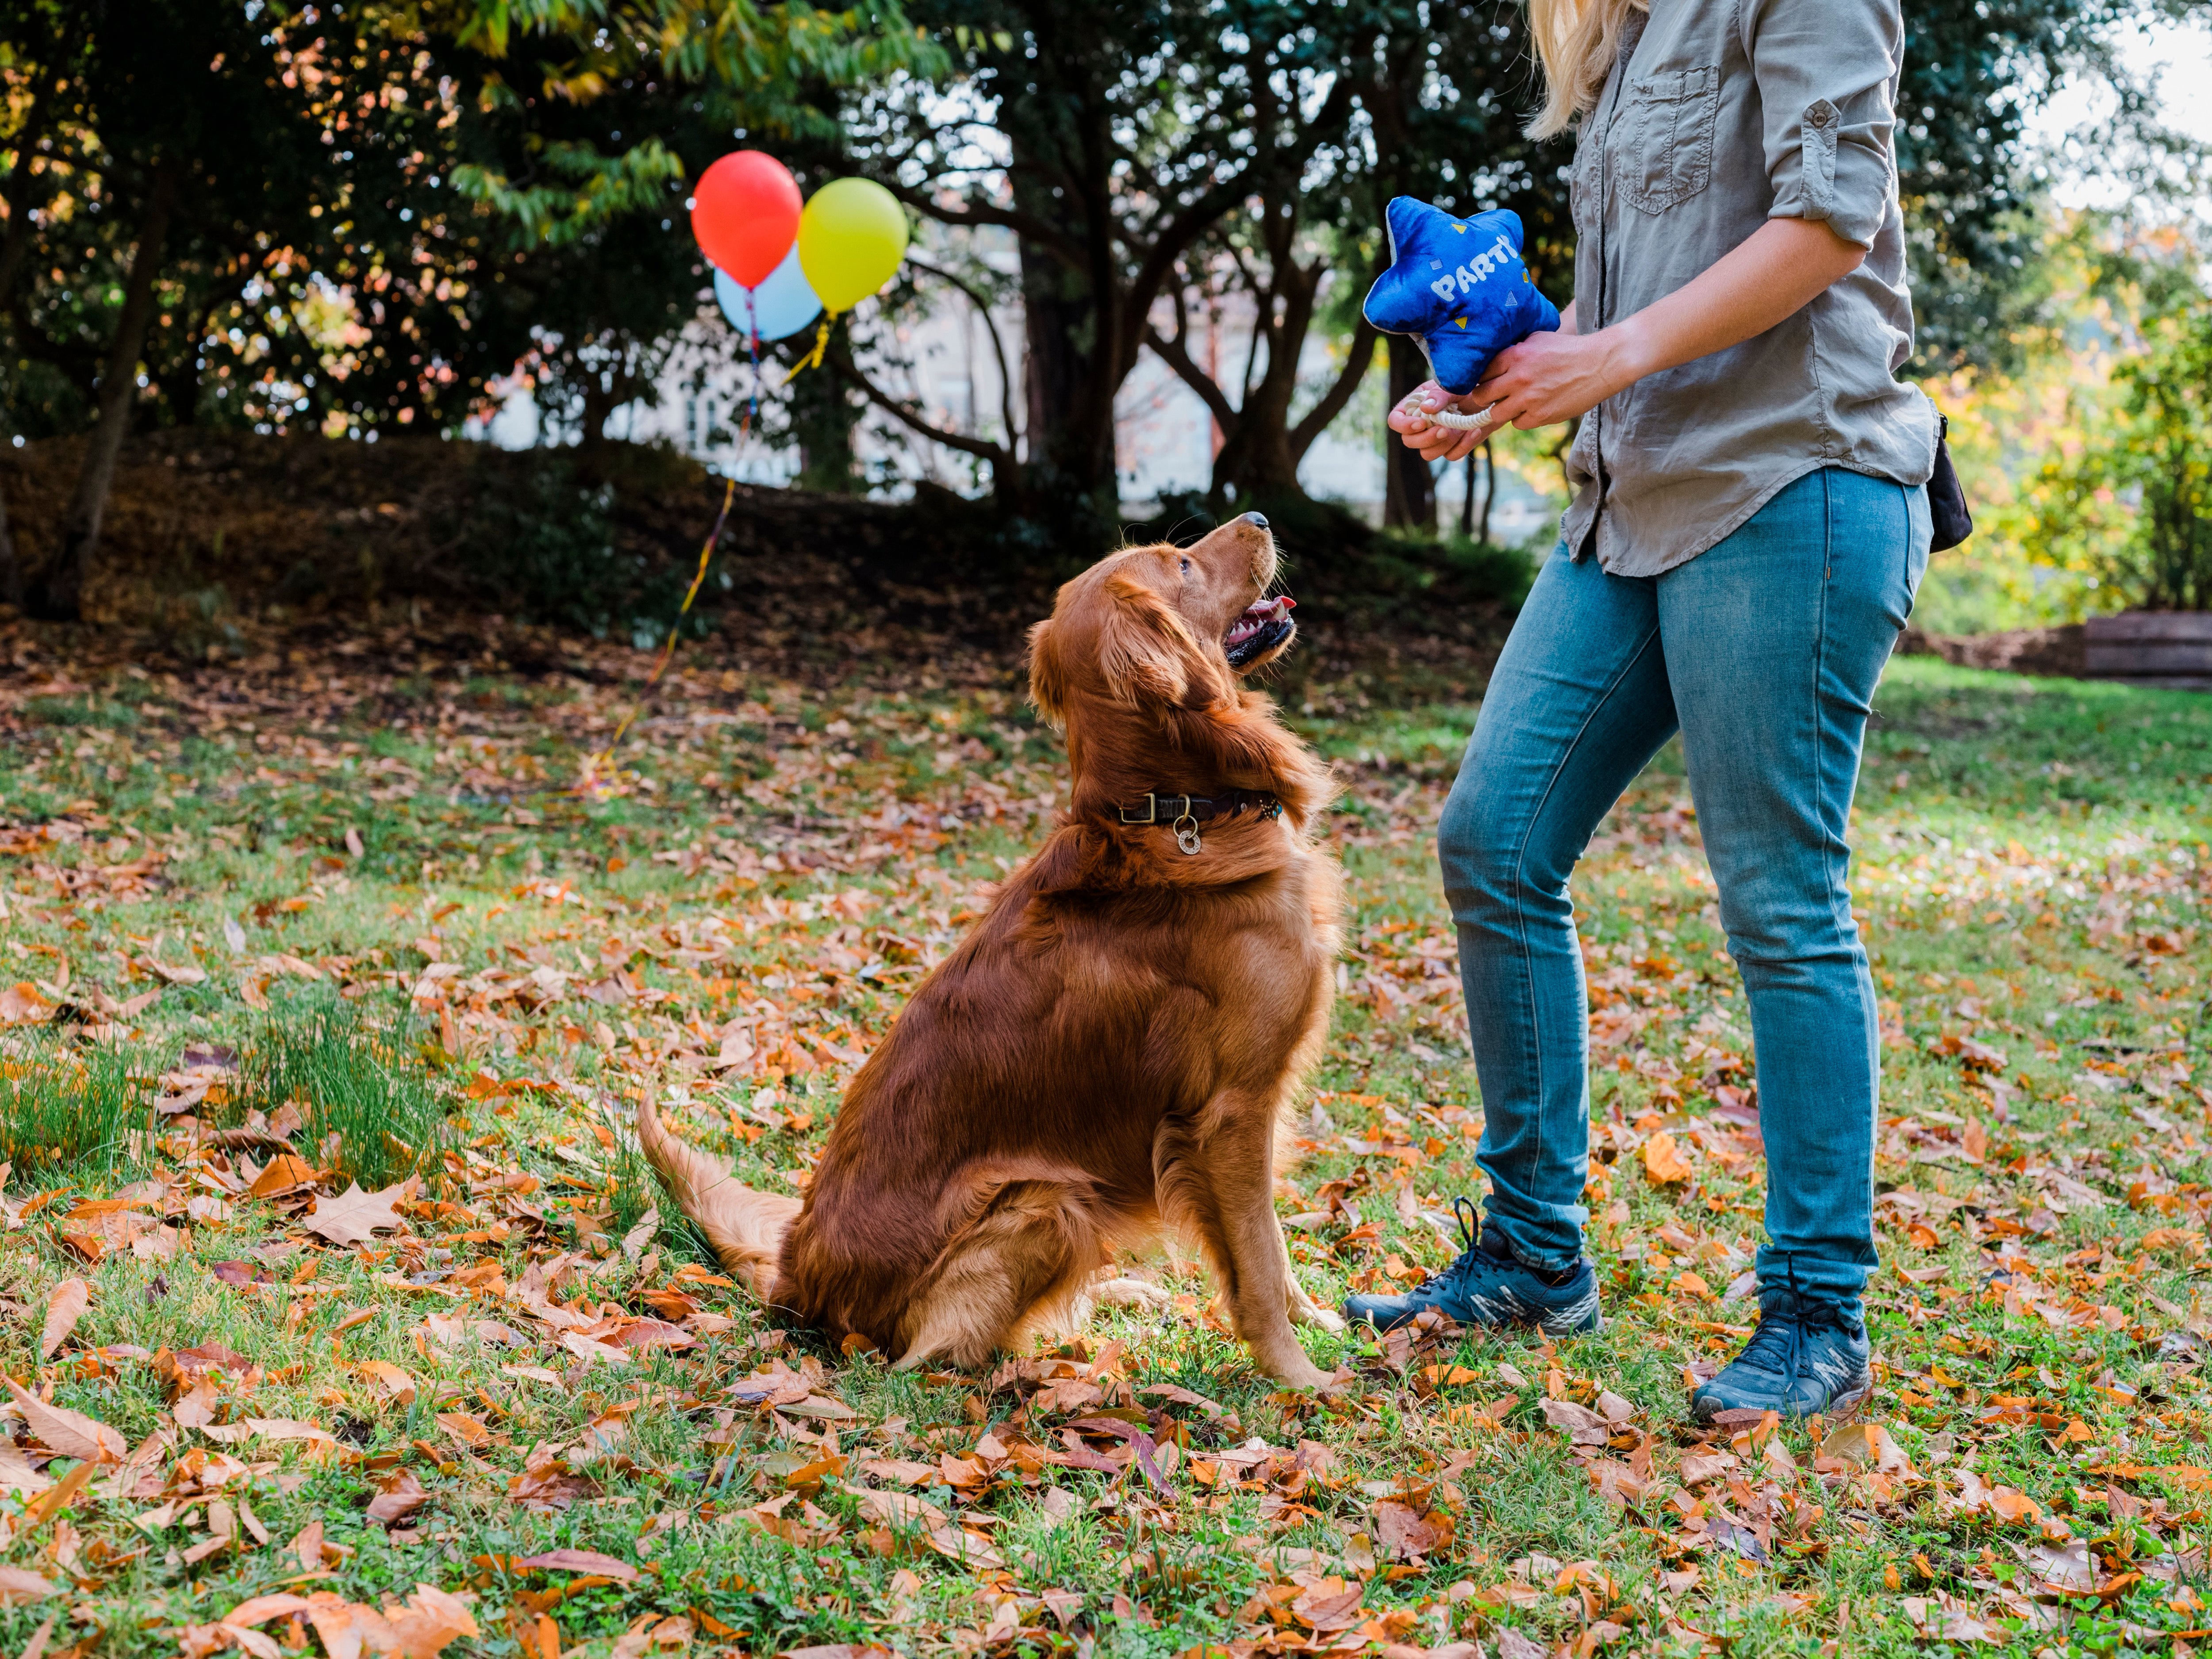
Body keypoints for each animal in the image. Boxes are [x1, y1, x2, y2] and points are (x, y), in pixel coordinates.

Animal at [633, 511, 1336, 1389]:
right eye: (1179, 563)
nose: (1263, 518)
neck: (1174, 812)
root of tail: (796, 1281)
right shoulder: (1230, 1113)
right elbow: (1260, 1256)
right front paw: (1303, 1379)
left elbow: (1276, 1246)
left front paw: (1325, 1326)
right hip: (1043, 1199)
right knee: (934, 1358)